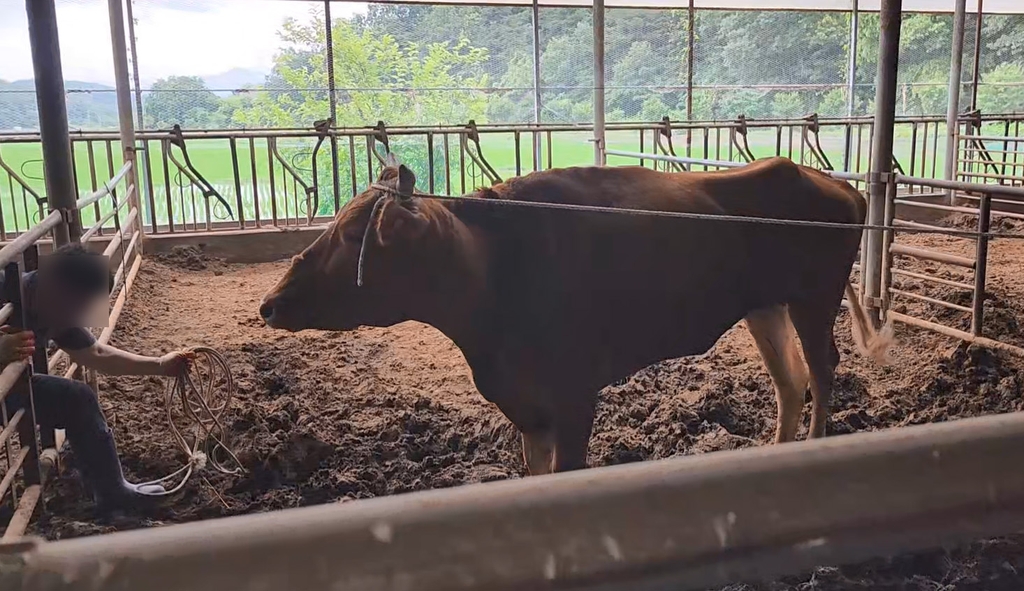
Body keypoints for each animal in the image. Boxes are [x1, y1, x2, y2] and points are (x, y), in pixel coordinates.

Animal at [260, 154, 892, 473]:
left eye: (350, 235)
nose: (271, 302)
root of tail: (832, 182)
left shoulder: (572, 398)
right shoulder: (526, 406)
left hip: (814, 299)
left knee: (822, 372)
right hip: (766, 305)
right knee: (790, 380)